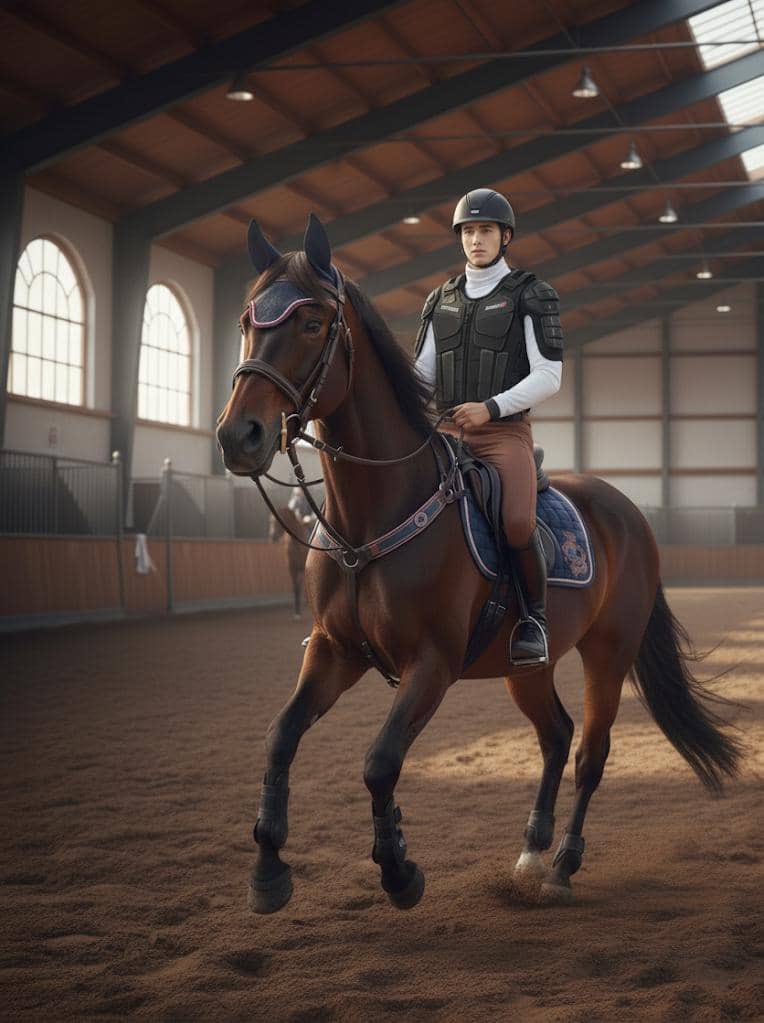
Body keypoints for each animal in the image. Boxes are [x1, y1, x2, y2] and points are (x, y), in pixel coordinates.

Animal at [216, 214, 742, 914]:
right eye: (247, 320)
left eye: (310, 322)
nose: (238, 436)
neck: (372, 519)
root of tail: (627, 510)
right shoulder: (334, 651)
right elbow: (280, 736)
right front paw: (268, 872)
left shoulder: (432, 664)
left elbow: (379, 762)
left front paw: (399, 871)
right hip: (527, 667)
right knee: (556, 734)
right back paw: (530, 853)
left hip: (609, 651)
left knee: (591, 752)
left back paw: (562, 867)